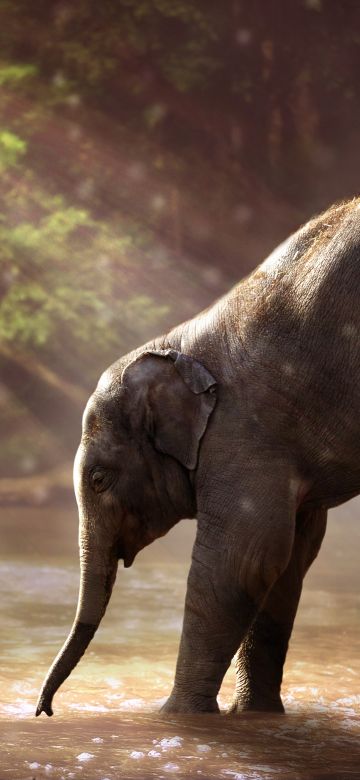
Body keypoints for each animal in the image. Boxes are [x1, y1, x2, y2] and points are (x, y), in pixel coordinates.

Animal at [35, 201, 360, 720]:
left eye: (100, 478)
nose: (43, 710)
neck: (180, 343)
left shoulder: (246, 432)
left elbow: (244, 557)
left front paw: (176, 716)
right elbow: (289, 560)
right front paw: (254, 716)